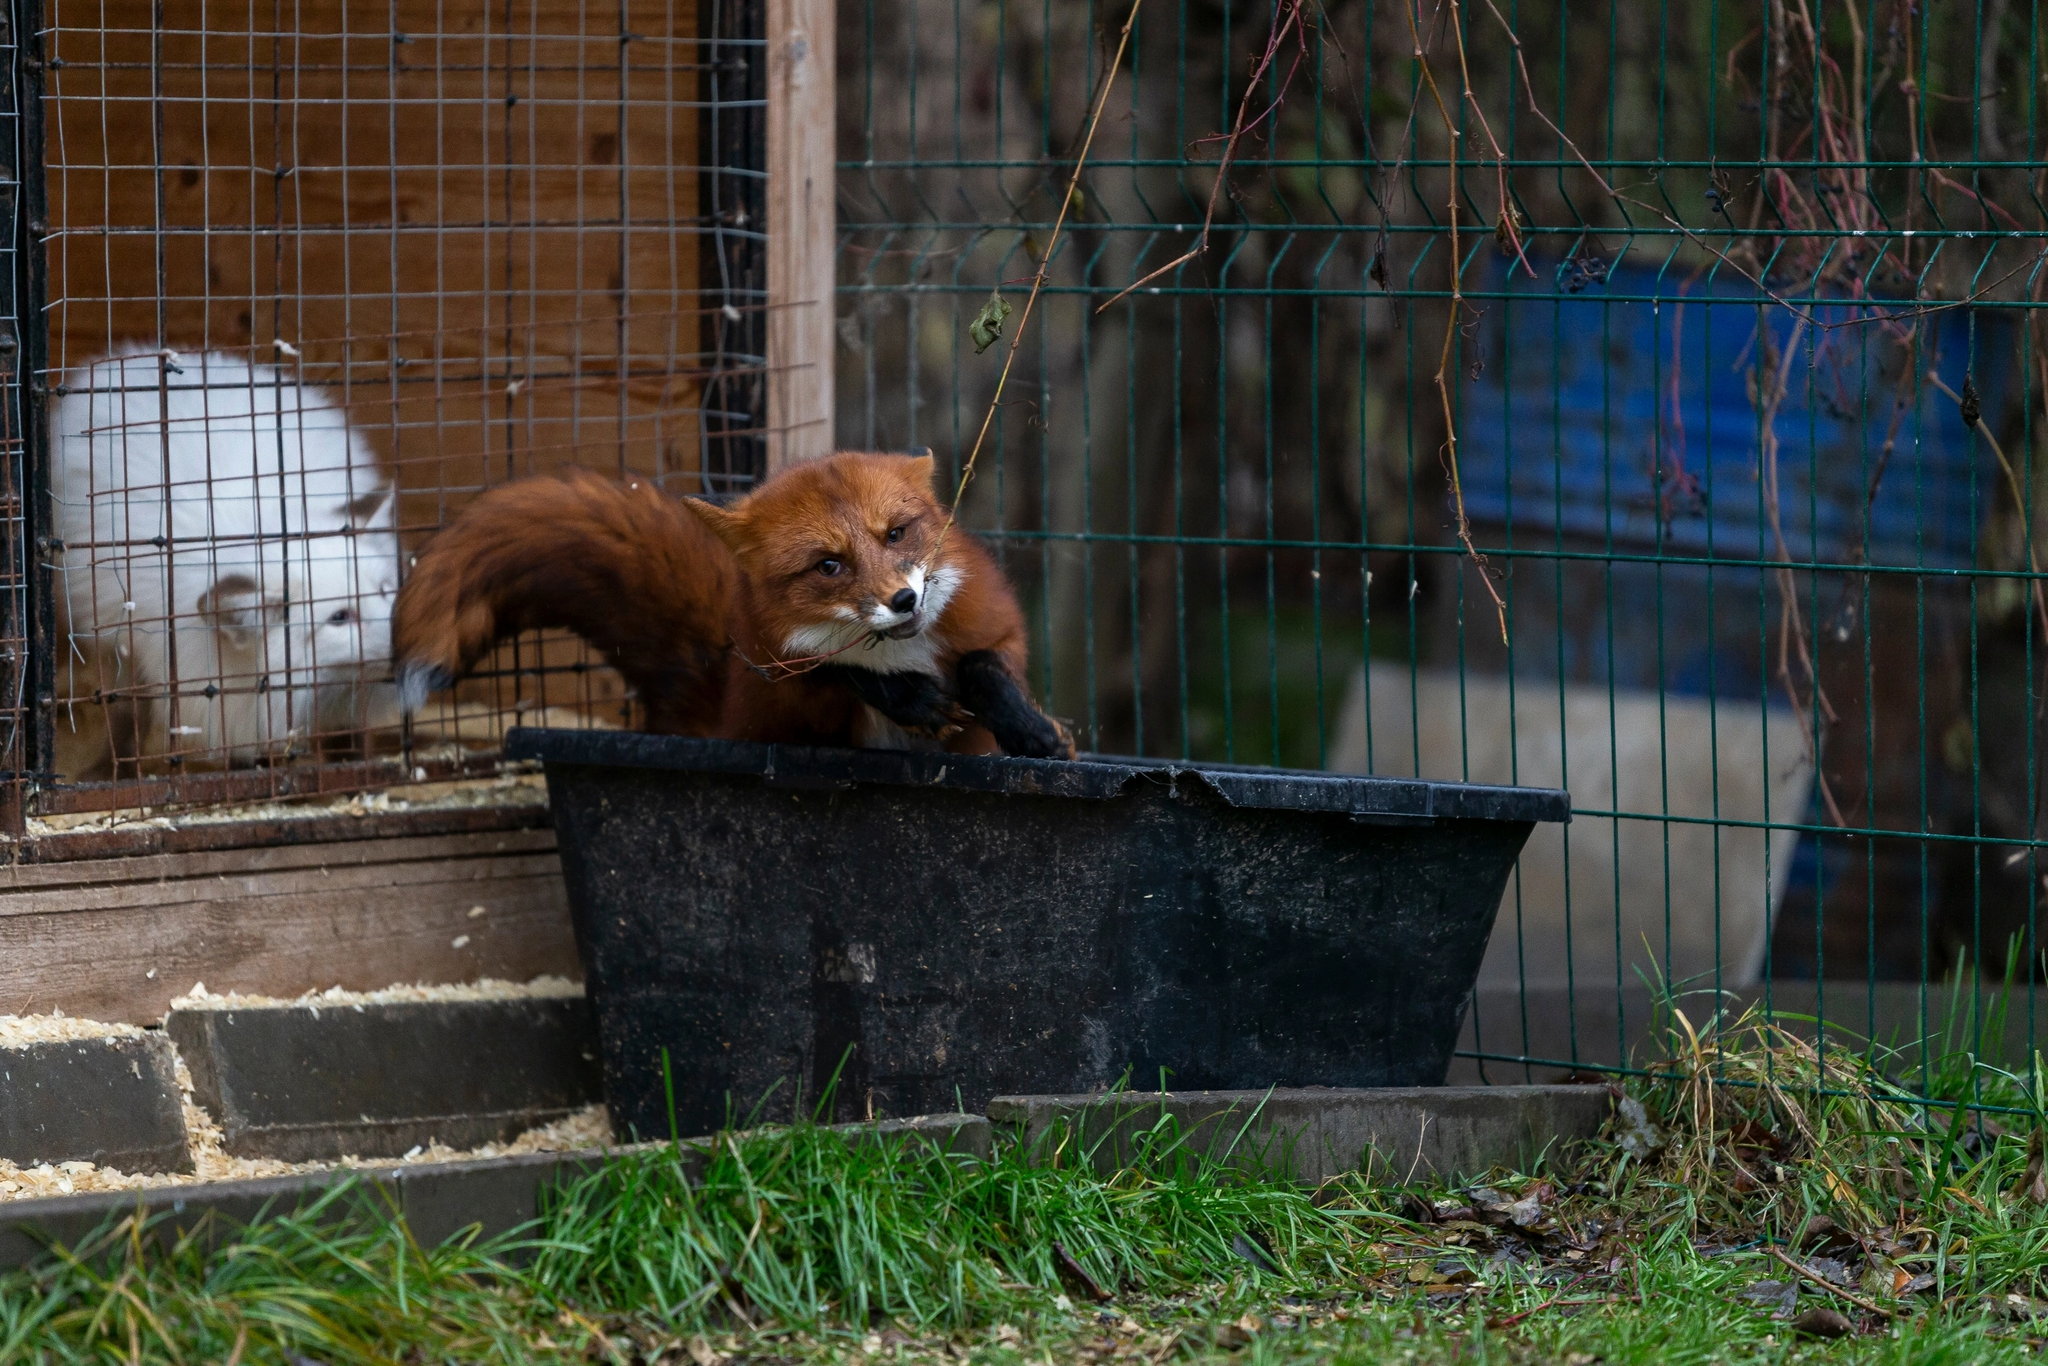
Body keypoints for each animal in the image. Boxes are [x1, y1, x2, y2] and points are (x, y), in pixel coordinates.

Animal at [389, 456, 1081, 757]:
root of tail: (712, 720)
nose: (904, 599)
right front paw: (910, 699)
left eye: (895, 535)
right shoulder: (780, 691)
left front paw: (1036, 733)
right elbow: (841, 671)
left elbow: (983, 668)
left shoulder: (996, 625)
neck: (900, 651)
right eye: (829, 566)